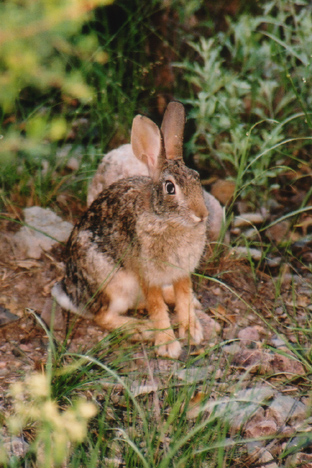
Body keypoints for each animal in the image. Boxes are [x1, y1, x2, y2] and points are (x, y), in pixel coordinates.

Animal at [52, 103, 208, 358]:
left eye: (197, 177)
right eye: (170, 188)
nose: (202, 215)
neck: (166, 219)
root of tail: (72, 295)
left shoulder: (182, 272)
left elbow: (184, 297)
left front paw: (192, 331)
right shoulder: (147, 273)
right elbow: (156, 306)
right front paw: (168, 345)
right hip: (112, 284)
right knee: (103, 316)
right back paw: (141, 329)